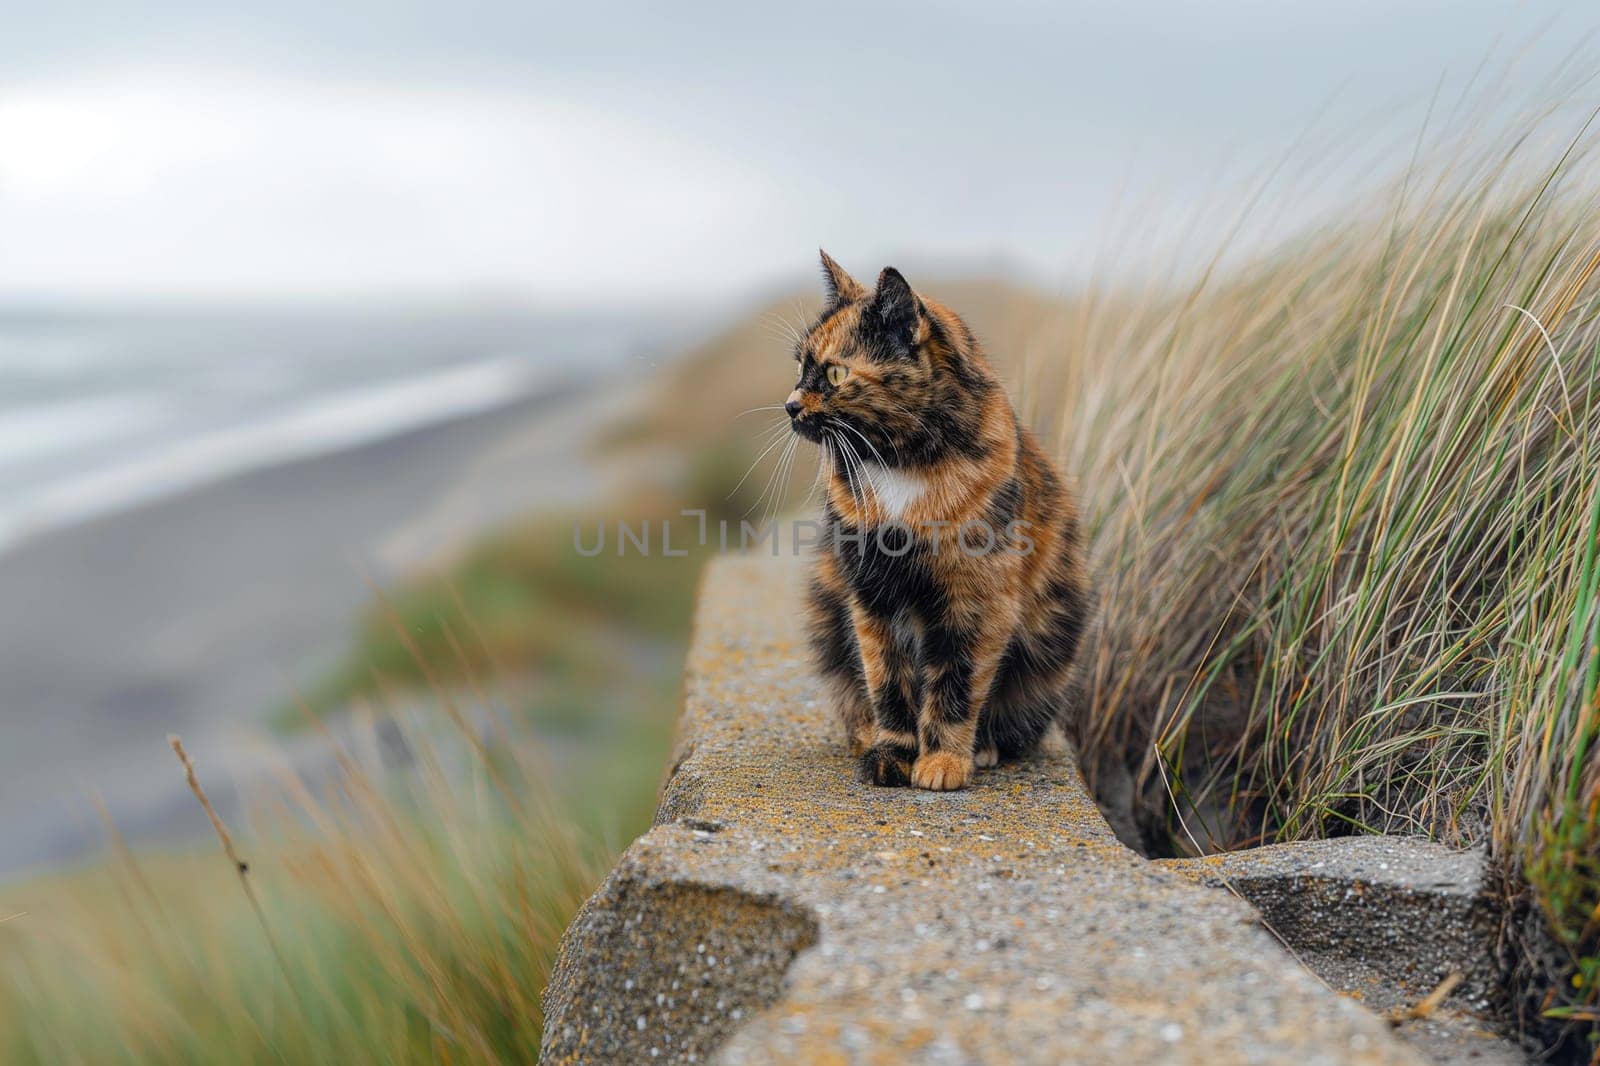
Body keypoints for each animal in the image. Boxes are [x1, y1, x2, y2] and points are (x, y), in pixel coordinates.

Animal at [796, 251, 1094, 787]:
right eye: (799, 366)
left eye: (833, 375)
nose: (790, 405)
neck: (900, 468)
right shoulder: (871, 597)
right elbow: (887, 680)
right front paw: (892, 752)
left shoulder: (976, 601)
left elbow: (956, 683)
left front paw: (942, 762)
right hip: (826, 609)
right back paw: (864, 735)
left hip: (1051, 648)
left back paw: (986, 748)